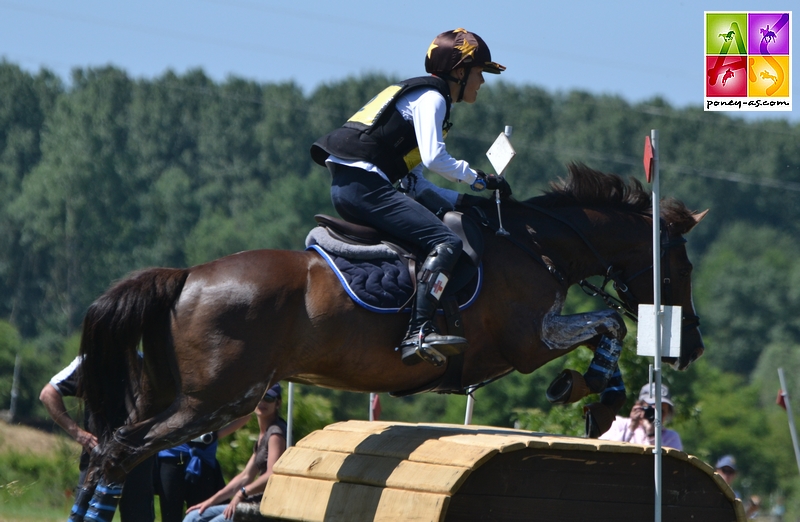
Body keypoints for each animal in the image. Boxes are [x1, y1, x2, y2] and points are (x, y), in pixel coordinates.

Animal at [70, 164, 708, 520]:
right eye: (681, 265)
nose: (692, 346)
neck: (534, 244)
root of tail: (185, 277)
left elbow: (607, 327)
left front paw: (592, 396)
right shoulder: (529, 340)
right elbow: (610, 324)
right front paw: (591, 393)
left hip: (172, 393)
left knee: (104, 452)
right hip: (219, 400)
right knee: (121, 451)